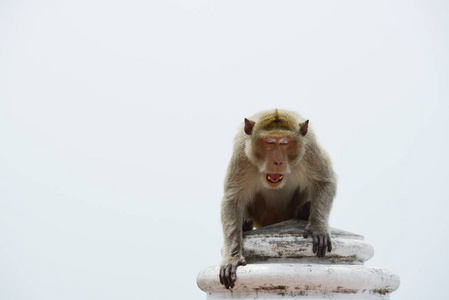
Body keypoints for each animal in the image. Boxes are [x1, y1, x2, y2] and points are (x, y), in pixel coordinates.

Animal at [219, 109, 334, 290]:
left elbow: (324, 181)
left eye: (285, 142)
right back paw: (245, 224)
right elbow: (233, 199)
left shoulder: (309, 147)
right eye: (269, 142)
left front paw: (318, 227)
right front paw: (232, 257)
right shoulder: (242, 154)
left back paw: (303, 211)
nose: (277, 161)